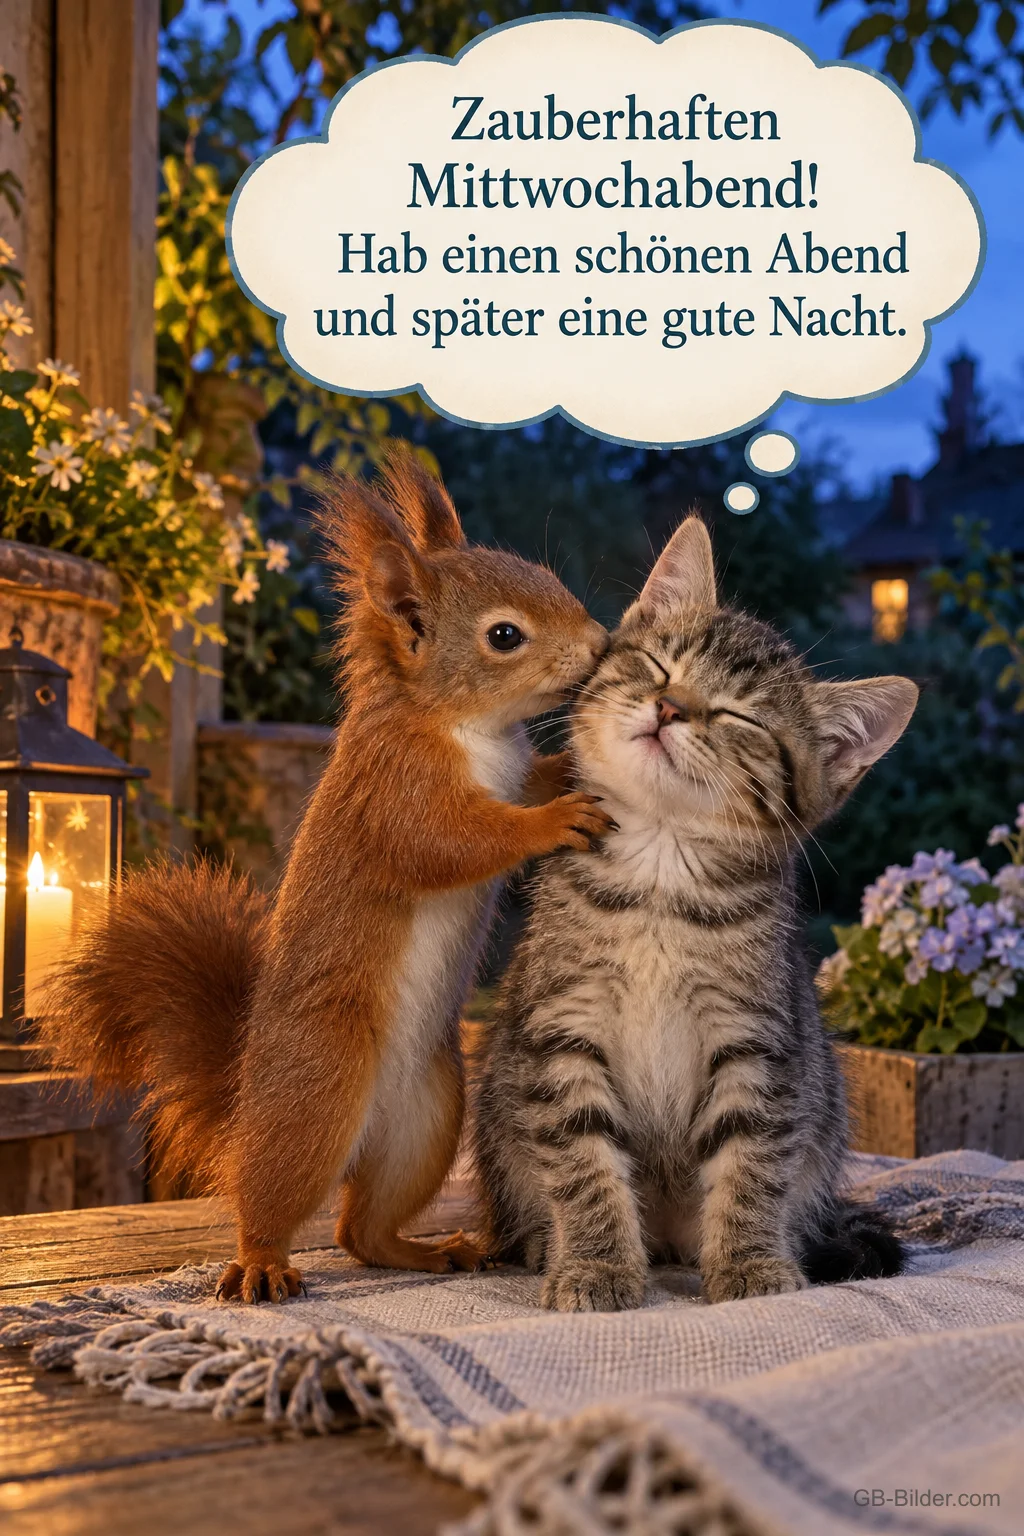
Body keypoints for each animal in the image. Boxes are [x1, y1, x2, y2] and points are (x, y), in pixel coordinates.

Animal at [41, 447, 612, 1303]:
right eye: (505, 635)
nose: (602, 643)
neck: (464, 725)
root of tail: (249, 1096)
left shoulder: (504, 769)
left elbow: (526, 782)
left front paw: (569, 771)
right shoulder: (395, 792)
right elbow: (450, 843)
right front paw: (554, 820)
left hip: (429, 1118)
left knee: (360, 1232)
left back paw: (430, 1250)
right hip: (319, 1091)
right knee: (275, 1197)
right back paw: (261, 1265)